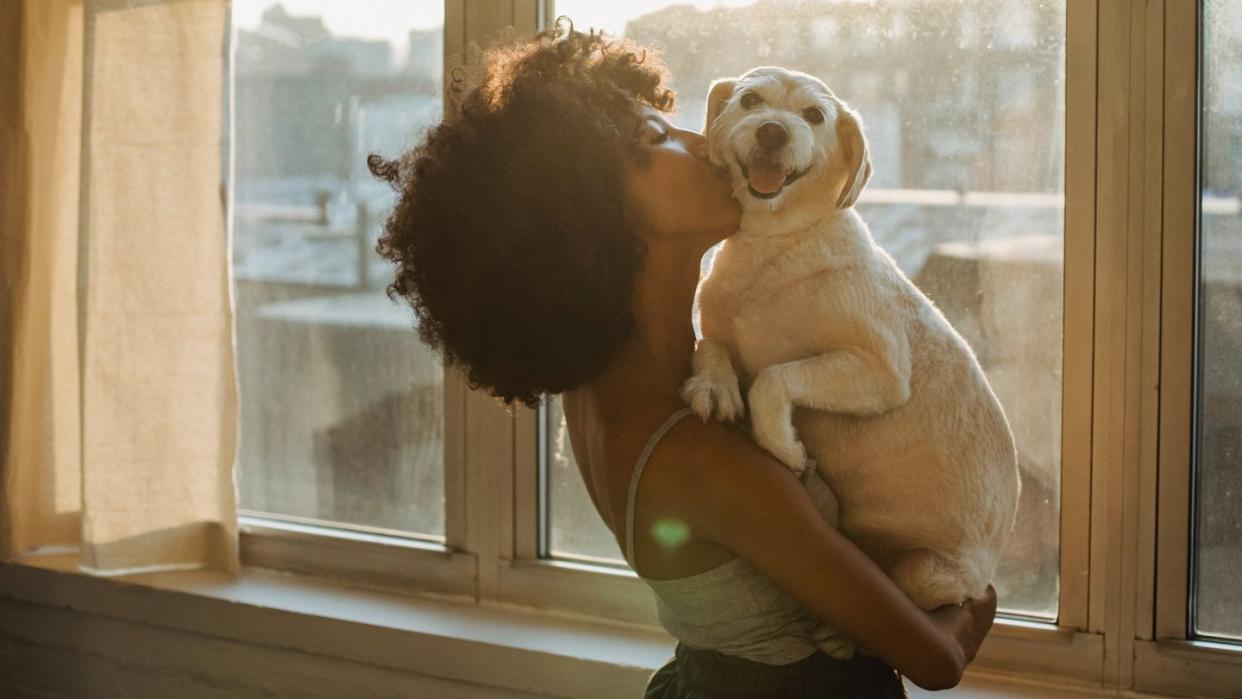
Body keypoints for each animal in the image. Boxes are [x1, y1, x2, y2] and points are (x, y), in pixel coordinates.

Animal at [685, 67, 1023, 623]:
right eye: (750, 100)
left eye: (814, 115)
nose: (773, 131)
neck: (775, 246)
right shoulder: (718, 326)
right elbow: (711, 346)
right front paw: (715, 387)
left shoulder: (879, 372)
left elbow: (775, 379)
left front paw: (785, 447)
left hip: (925, 574)